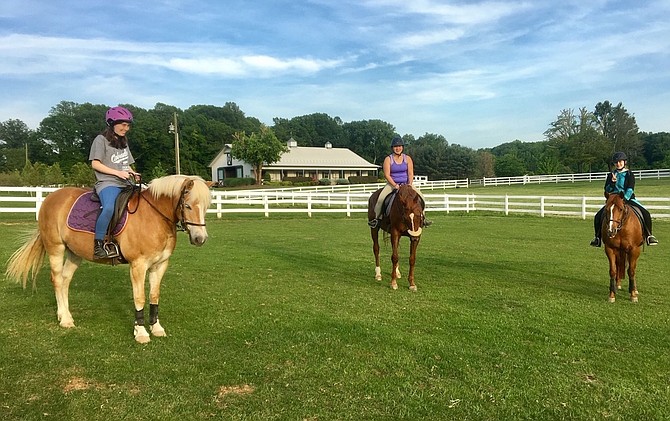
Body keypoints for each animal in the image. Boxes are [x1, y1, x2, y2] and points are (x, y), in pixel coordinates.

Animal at [5, 174, 213, 342]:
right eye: (187, 205)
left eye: (206, 207)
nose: (200, 239)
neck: (154, 217)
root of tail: (50, 197)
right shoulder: (138, 265)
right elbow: (139, 297)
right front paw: (141, 332)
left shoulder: (160, 265)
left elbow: (154, 296)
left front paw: (156, 328)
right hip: (56, 248)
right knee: (56, 280)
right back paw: (64, 320)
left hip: (74, 253)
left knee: (65, 281)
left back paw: (65, 315)